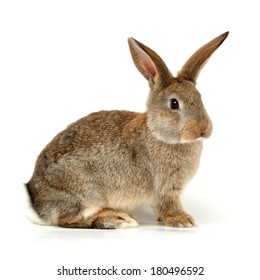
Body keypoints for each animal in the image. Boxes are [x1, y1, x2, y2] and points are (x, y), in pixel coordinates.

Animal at [25, 31, 228, 229]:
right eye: (174, 103)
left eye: (200, 97)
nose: (203, 128)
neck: (157, 133)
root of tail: (37, 204)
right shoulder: (164, 187)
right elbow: (169, 206)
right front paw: (183, 220)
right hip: (85, 192)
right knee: (68, 219)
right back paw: (118, 219)